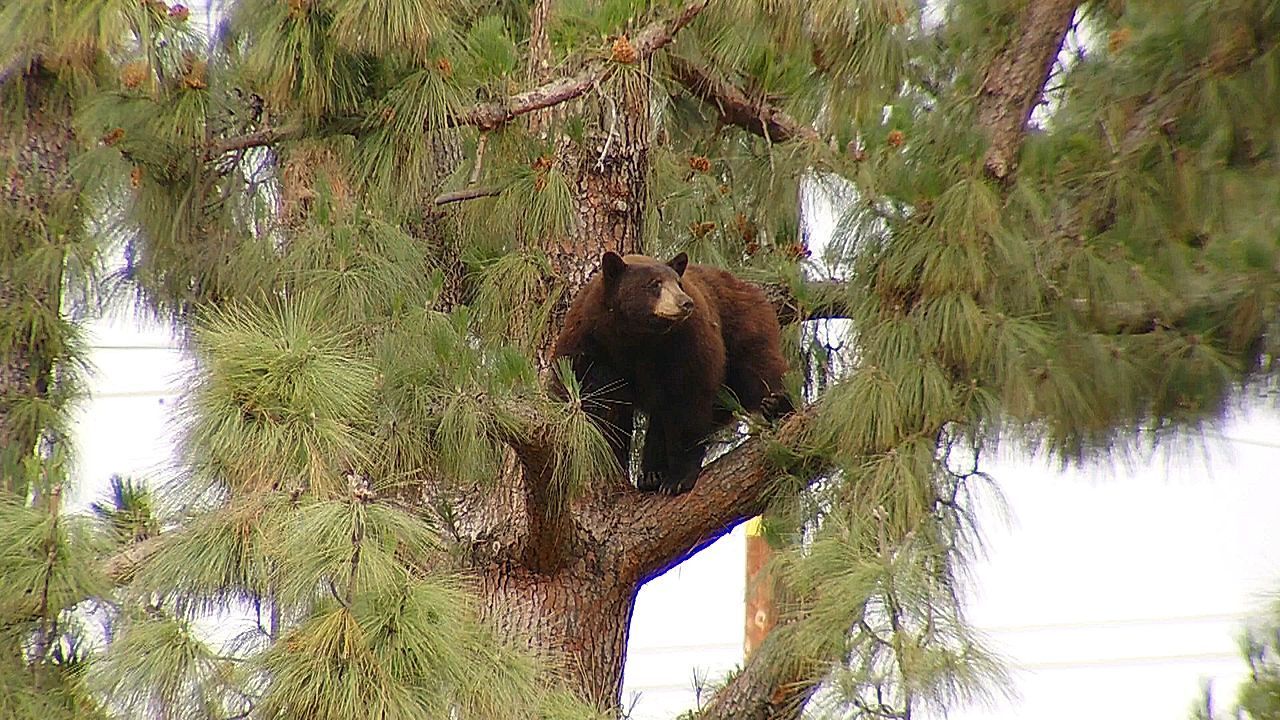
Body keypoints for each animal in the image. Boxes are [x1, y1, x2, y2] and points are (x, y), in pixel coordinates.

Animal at [550, 251, 792, 495]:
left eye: (679, 283)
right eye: (654, 283)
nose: (686, 302)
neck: (638, 338)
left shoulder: (686, 342)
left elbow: (687, 401)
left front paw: (678, 478)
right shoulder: (589, 342)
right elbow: (597, 400)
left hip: (743, 323)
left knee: (758, 367)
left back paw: (777, 403)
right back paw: (651, 474)